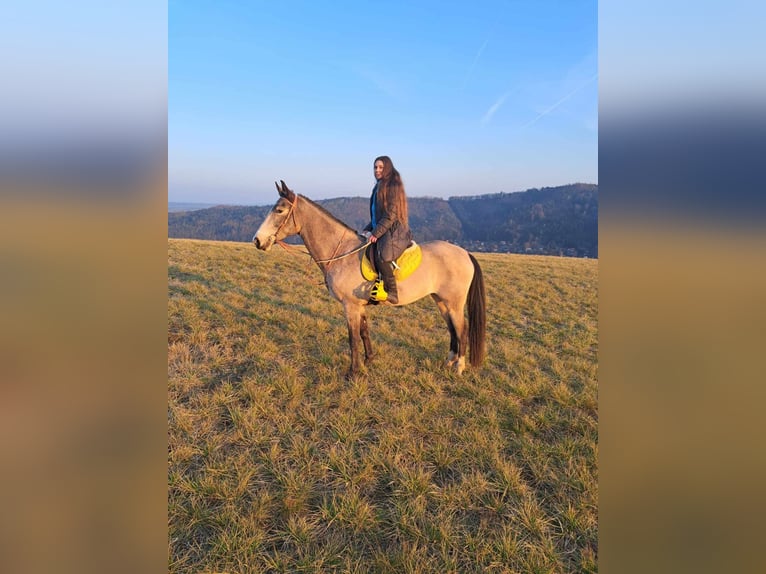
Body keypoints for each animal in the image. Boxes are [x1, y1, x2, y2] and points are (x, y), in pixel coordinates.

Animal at [255, 182, 488, 380]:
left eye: (279, 211)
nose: (257, 240)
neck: (342, 252)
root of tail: (465, 253)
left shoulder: (350, 306)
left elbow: (353, 338)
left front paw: (353, 373)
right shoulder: (359, 306)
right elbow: (364, 332)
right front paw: (368, 361)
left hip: (453, 303)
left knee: (462, 331)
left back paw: (459, 368)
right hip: (441, 301)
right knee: (453, 330)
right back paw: (449, 363)